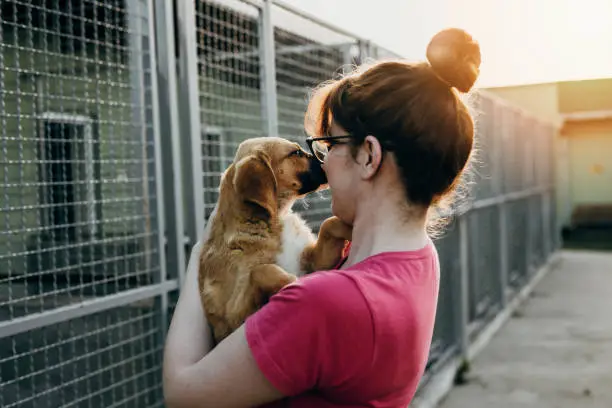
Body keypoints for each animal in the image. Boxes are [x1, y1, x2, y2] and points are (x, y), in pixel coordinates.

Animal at [198, 135, 352, 342]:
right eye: (296, 153)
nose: (325, 156)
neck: (276, 221)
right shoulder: (232, 317)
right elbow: (262, 270)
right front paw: (292, 282)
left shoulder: (314, 261)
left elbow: (329, 224)